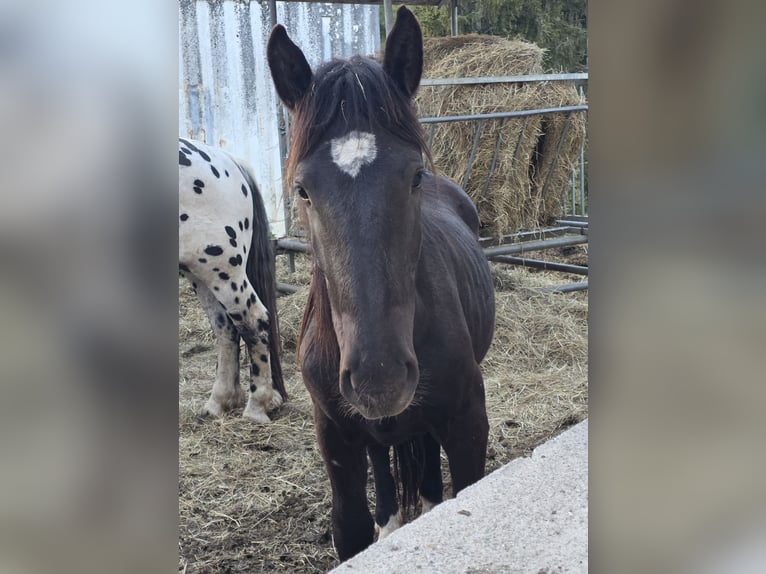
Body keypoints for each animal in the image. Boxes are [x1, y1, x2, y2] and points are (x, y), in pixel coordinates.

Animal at [178, 138, 287, 423]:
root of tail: (229, 160)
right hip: (200, 274)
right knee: (225, 327)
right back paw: (219, 402)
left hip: (222, 269)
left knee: (253, 322)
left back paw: (257, 406)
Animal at [267, 6, 495, 560]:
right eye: (302, 189)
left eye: (413, 176)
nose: (380, 377)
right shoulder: (336, 434)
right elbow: (350, 528)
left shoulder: (467, 423)